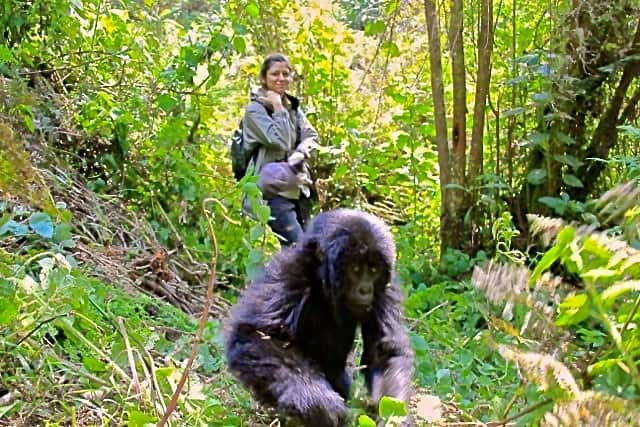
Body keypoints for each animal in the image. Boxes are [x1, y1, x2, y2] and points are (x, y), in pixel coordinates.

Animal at [225, 209, 416, 426]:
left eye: (374, 270)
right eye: (355, 269)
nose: (366, 290)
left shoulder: (387, 288)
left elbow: (385, 351)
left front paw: (395, 418)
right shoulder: (288, 273)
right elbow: (255, 334)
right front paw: (316, 402)